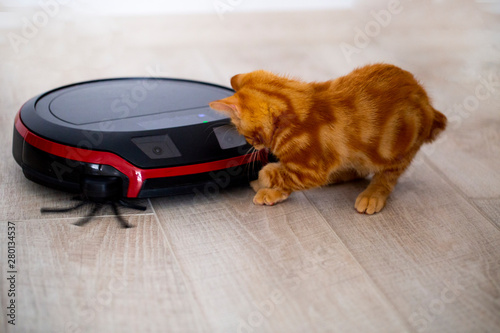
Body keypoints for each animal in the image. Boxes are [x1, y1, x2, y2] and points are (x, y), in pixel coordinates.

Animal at [209, 63, 448, 214]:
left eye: (246, 135)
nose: (252, 145)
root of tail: (428, 105)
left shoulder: (311, 169)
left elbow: (283, 174)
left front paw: (265, 178)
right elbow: (289, 178)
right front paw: (273, 191)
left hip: (395, 151)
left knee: (387, 176)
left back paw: (373, 195)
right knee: (357, 170)